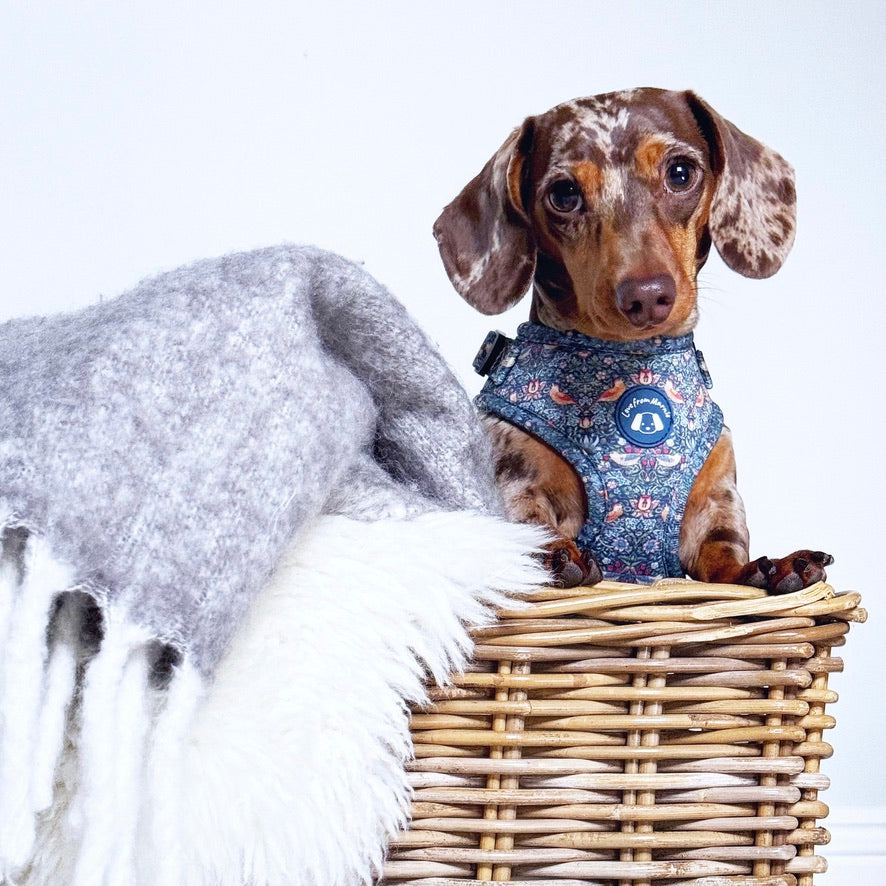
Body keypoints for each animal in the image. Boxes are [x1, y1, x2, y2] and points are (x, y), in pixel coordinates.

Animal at [436, 86, 832, 592]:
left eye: (680, 173)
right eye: (563, 194)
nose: (646, 296)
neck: (629, 365)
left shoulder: (717, 502)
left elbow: (724, 561)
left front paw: (772, 568)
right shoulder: (517, 483)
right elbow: (532, 525)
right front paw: (556, 558)